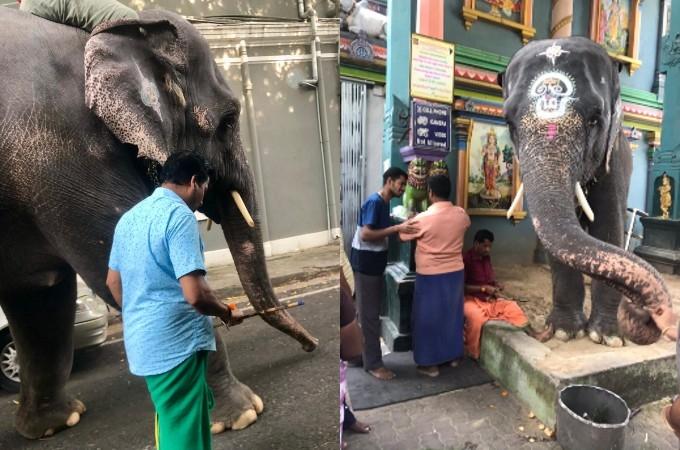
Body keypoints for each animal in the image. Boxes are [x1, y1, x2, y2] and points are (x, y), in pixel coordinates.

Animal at [0, 6, 318, 440]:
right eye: (229, 120)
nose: (312, 346)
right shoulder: (64, 153)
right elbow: (125, 269)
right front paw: (242, 415)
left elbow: (41, 298)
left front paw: (57, 424)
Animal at [502, 37, 676, 348]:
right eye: (509, 122)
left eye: (595, 120)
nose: (658, 319)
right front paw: (565, 331)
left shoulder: (612, 163)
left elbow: (609, 228)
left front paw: (607, 337)